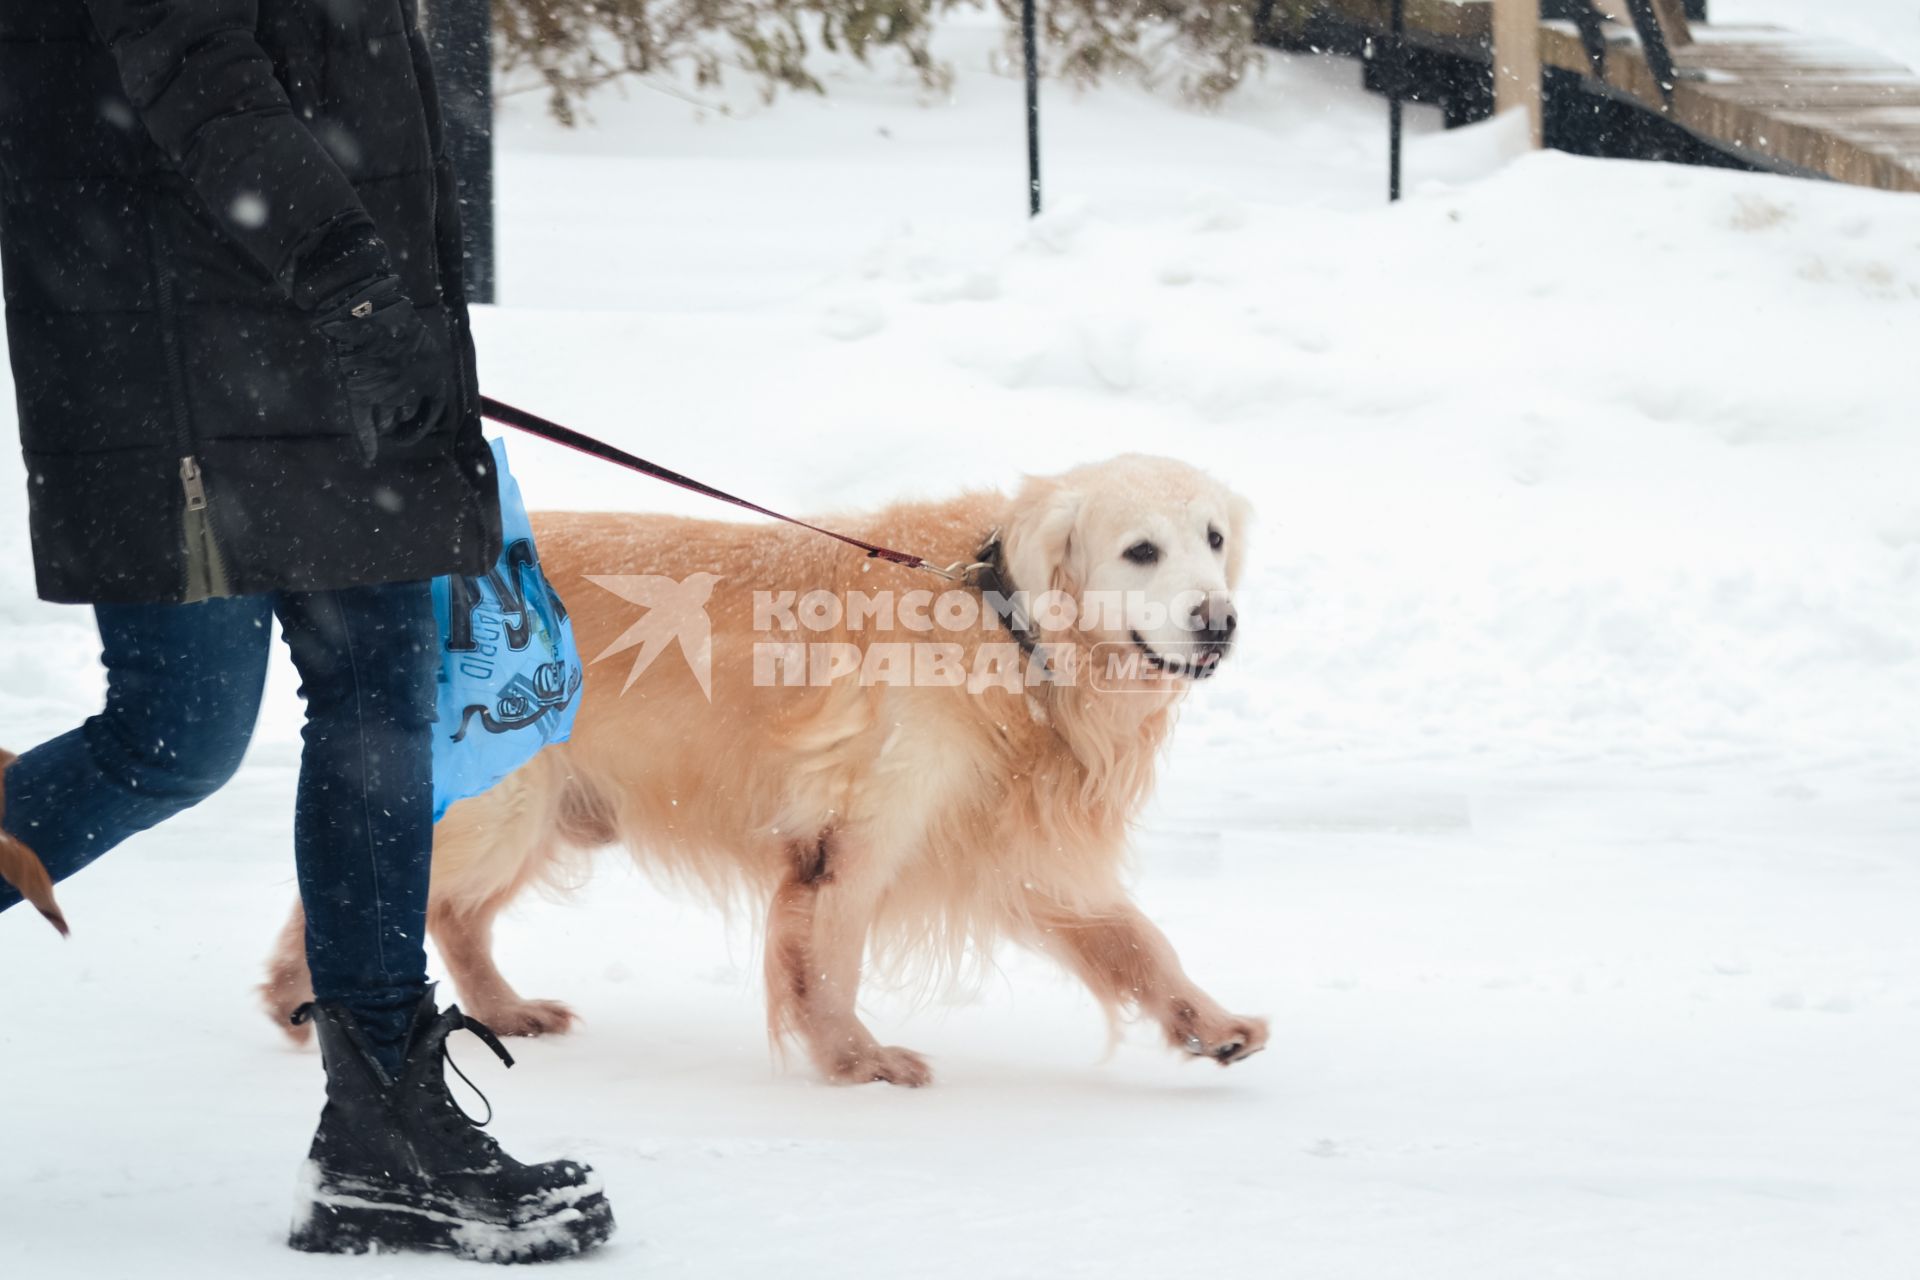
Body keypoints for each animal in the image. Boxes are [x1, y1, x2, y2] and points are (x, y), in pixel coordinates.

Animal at [263, 454, 1267, 1090]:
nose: (1219, 621)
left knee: (454, 915)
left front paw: (1209, 1024)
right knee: (362, 897)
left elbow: (1136, 941)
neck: (1005, 626)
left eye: (1214, 538)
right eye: (1141, 550)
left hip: (544, 813)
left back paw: (505, 1011)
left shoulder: (1012, 844)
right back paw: (302, 1001)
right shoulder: (852, 837)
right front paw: (857, 1063)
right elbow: (828, 963)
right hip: (499, 807)